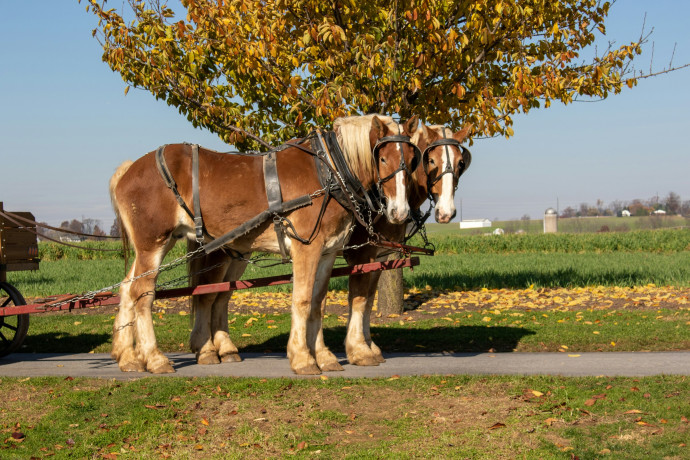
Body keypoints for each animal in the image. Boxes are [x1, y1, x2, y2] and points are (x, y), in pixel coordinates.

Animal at [109, 115, 420, 374]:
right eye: (382, 158)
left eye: (412, 159)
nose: (399, 211)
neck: (328, 170)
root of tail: (129, 170)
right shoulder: (307, 247)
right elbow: (303, 300)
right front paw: (303, 358)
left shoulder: (328, 252)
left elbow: (318, 302)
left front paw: (324, 356)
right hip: (154, 244)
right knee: (142, 293)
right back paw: (155, 358)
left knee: (126, 288)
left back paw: (128, 357)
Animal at [341, 123, 472, 366]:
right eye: (431, 160)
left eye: (461, 162)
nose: (446, 213)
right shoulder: (361, 255)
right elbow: (357, 299)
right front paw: (358, 349)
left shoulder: (379, 256)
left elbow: (368, 300)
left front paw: (367, 345)